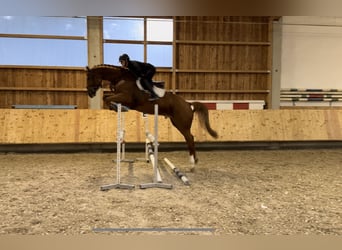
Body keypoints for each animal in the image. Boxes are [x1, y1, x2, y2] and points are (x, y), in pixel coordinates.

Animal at [86, 63, 219, 165]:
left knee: (190, 138)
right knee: (190, 138)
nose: (90, 93)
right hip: (176, 122)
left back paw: (192, 162)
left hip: (182, 124)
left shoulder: (126, 97)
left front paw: (117, 107)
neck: (121, 79)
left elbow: (107, 99)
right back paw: (194, 160)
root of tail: (188, 104)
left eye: (89, 77)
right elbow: (106, 97)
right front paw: (117, 107)